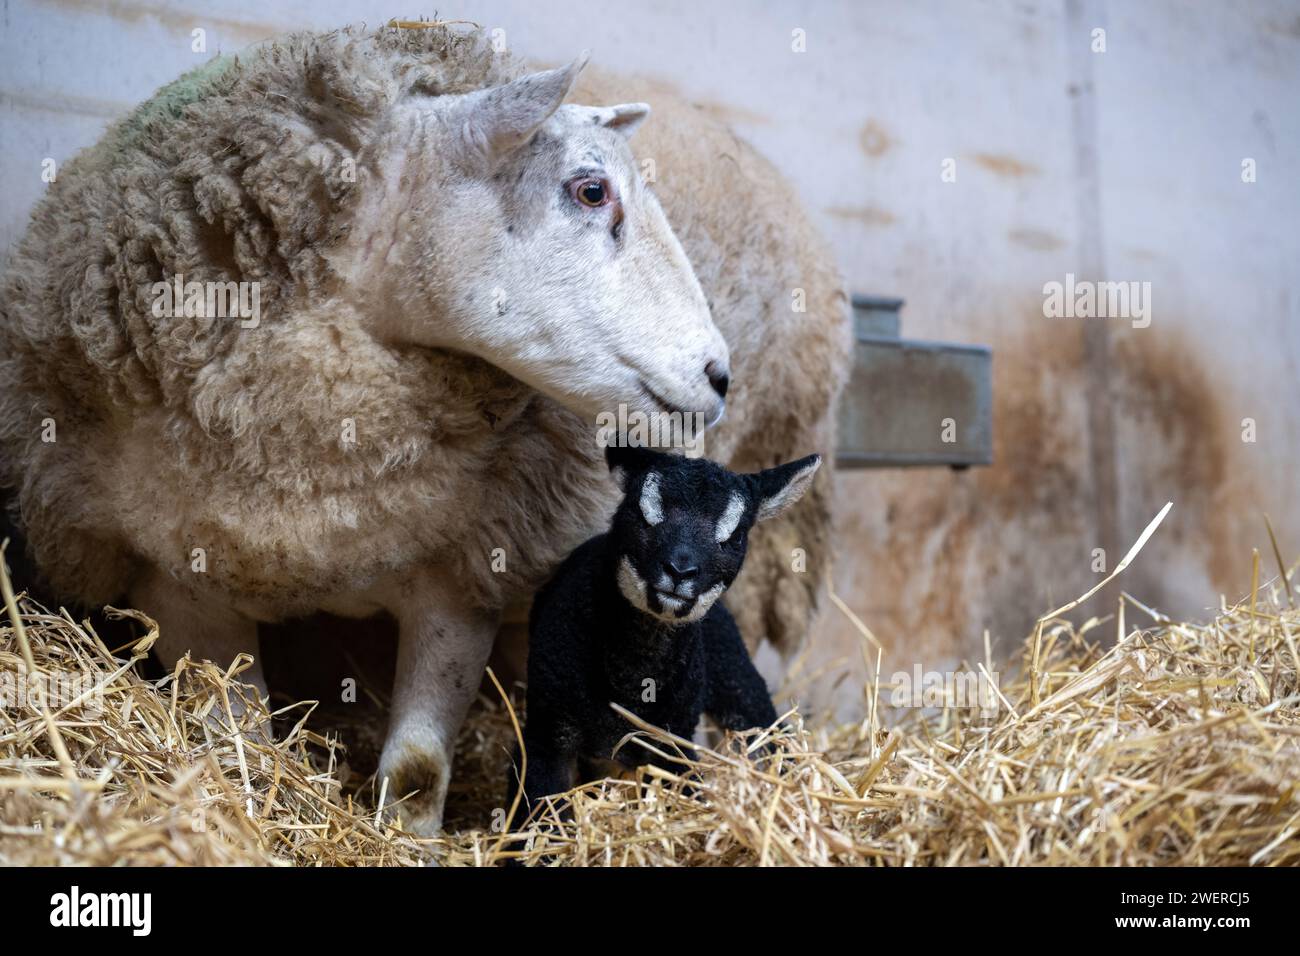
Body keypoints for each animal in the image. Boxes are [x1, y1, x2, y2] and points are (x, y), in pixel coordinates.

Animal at [506, 444, 821, 827]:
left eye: (733, 537)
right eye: (641, 515)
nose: (680, 570)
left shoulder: (674, 739)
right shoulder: (548, 731)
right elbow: (538, 810)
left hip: (732, 668)